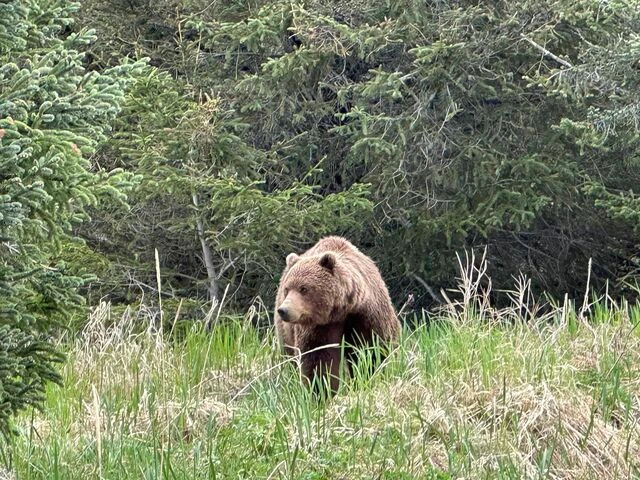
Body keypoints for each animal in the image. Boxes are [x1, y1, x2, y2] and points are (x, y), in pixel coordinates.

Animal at [274, 236, 400, 393]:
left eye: (303, 288)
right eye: (287, 289)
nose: (283, 310)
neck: (342, 310)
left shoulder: (367, 316)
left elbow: (372, 350)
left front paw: (368, 378)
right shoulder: (320, 327)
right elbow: (319, 361)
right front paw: (322, 390)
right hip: (285, 333)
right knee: (289, 356)